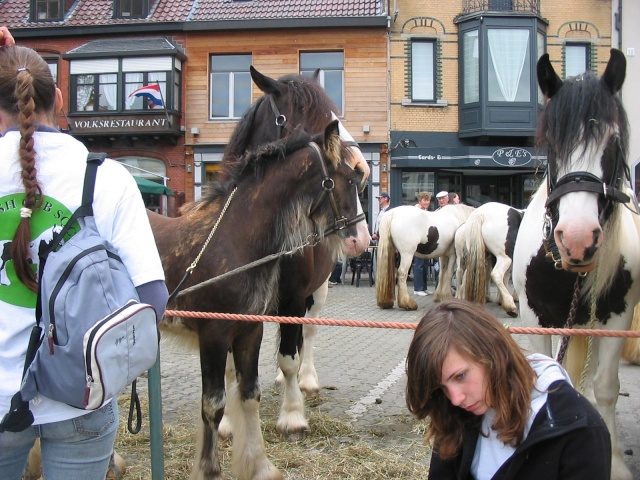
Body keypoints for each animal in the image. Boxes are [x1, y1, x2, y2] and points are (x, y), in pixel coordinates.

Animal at [152, 122, 368, 478]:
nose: (362, 240)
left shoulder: (250, 330)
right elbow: (213, 404)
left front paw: (259, 465)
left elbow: (249, 393)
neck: (233, 240)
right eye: (349, 180)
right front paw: (209, 469)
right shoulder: (214, 334)